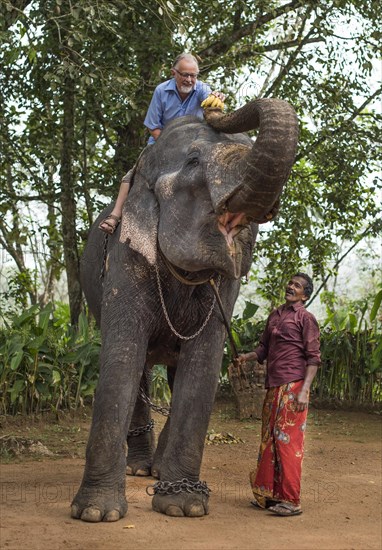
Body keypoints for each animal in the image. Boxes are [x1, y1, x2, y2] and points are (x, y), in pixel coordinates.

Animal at [71, 97, 298, 524]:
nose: (215, 109)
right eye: (193, 161)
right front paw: (95, 514)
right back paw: (139, 469)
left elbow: (204, 365)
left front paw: (184, 506)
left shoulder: (226, 286)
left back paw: (160, 472)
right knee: (142, 372)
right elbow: (122, 357)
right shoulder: (125, 257)